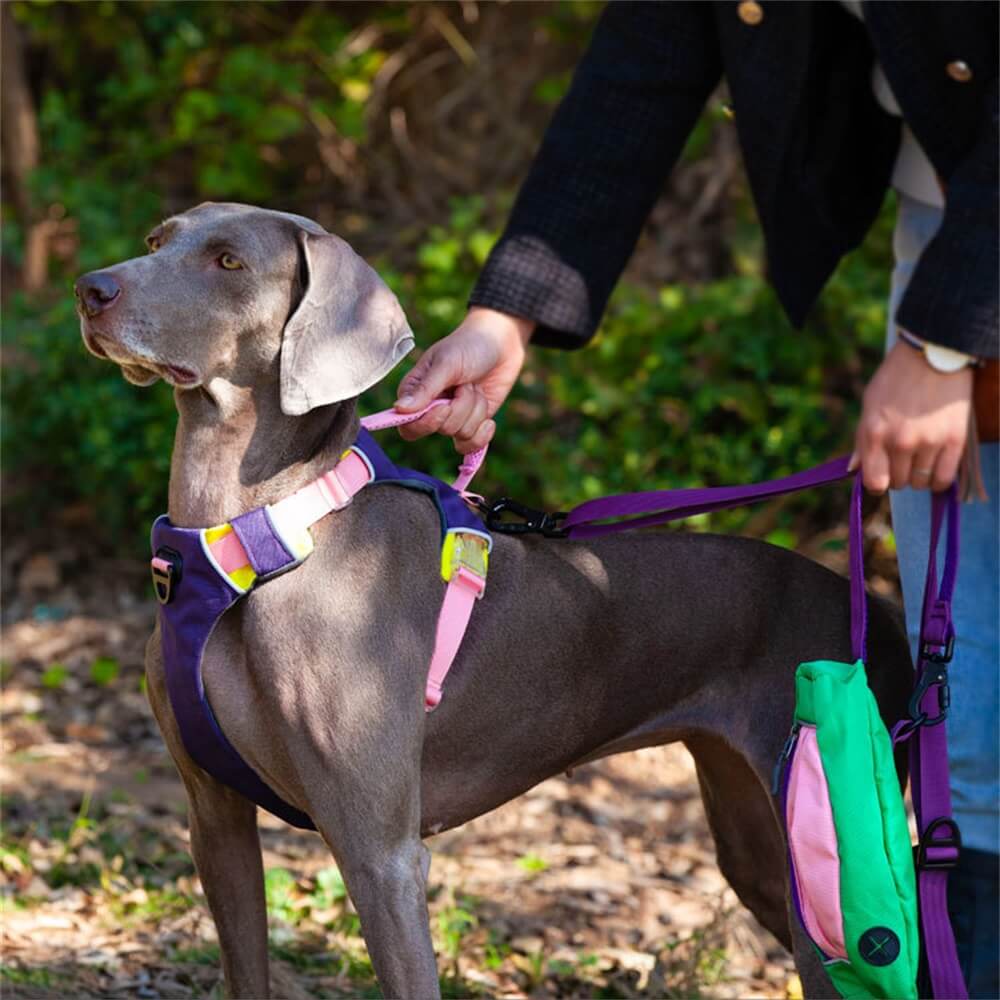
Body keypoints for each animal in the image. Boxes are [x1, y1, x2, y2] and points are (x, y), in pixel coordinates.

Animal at [74, 205, 912, 1000]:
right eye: (156, 240)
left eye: (229, 262)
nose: (90, 289)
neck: (255, 533)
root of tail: (876, 608)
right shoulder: (213, 816)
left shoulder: (381, 852)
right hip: (754, 840)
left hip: (825, 873)